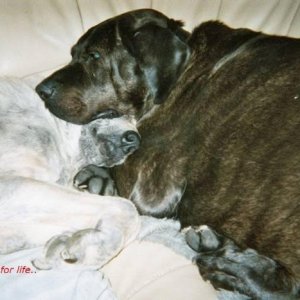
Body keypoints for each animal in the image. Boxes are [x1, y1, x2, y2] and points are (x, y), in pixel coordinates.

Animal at [37, 8, 300, 298]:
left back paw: (230, 267)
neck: (183, 70)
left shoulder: (149, 184)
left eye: (94, 56)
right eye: (73, 53)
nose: (41, 90)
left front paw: (100, 176)